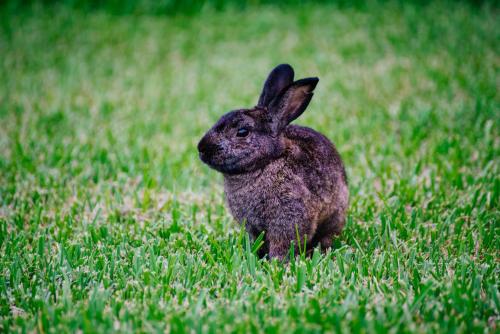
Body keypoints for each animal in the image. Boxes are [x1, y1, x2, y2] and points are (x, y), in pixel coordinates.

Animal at [196, 63, 348, 260]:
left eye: (242, 132)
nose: (201, 148)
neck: (266, 162)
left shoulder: (288, 219)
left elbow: (283, 243)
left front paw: (277, 261)